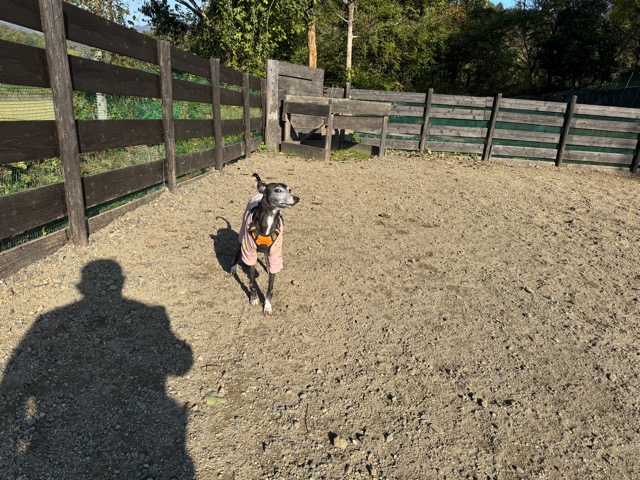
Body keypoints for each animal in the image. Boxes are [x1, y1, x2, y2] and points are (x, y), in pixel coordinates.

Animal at [230, 173, 299, 314]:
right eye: (277, 190)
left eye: (290, 190)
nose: (297, 198)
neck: (270, 218)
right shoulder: (250, 252)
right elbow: (252, 281)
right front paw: (254, 298)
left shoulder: (275, 253)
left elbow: (270, 286)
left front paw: (267, 305)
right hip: (242, 235)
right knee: (238, 250)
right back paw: (234, 267)